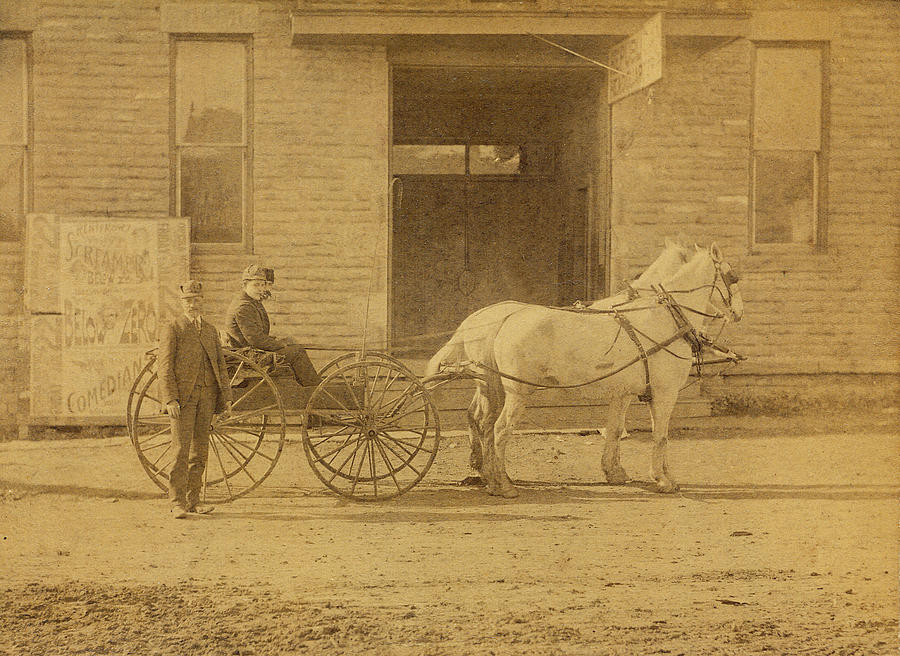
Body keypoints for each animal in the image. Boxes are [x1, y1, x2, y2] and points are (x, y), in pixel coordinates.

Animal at [426, 238, 692, 474]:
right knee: (486, 421)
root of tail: (476, 318)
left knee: (475, 416)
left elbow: (616, 427)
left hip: (485, 381)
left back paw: (479, 465)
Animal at [474, 245, 740, 498]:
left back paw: (491, 479)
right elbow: (661, 435)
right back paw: (503, 485)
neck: (666, 318)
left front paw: (619, 472)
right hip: (517, 393)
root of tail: (504, 321)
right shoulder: (665, 393)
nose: (738, 312)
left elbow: (616, 430)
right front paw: (662, 480)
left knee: (485, 426)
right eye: (733, 276)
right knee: (500, 430)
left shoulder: (624, 393)